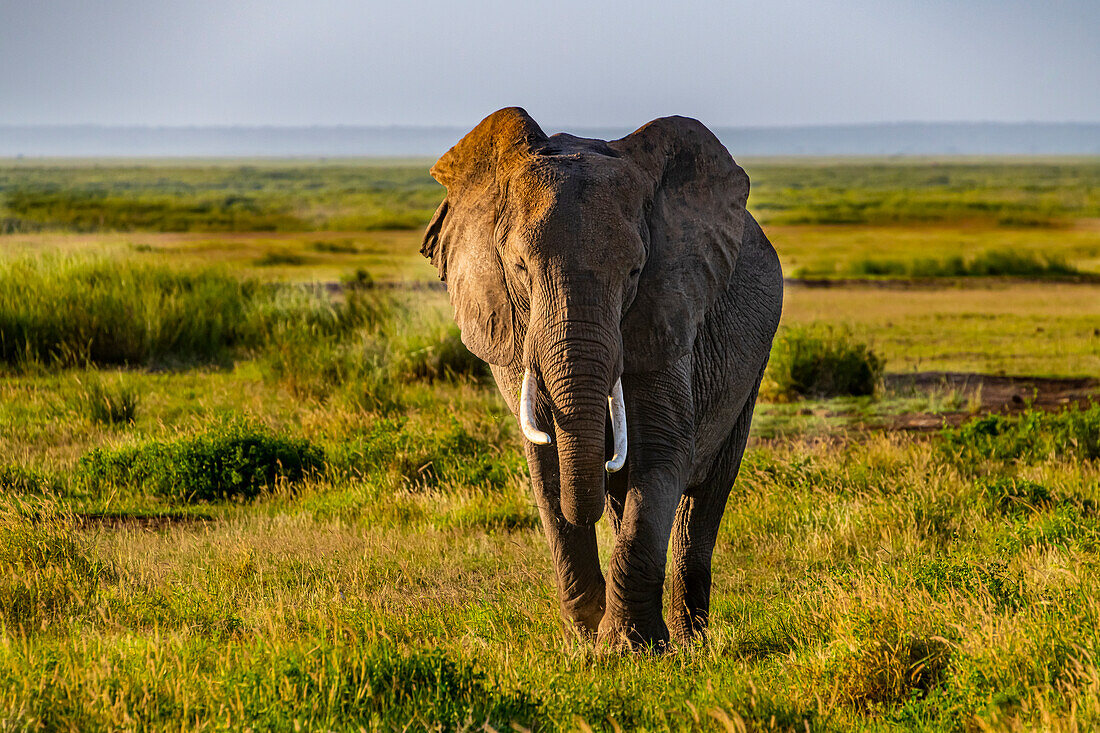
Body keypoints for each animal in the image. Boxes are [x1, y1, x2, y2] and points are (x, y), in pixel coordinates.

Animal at [420, 107, 783, 647]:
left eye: (634, 272)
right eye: (520, 268)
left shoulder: (667, 310)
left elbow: (662, 450)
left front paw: (630, 648)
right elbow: (546, 462)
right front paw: (587, 637)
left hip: (753, 365)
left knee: (703, 500)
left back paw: (691, 643)